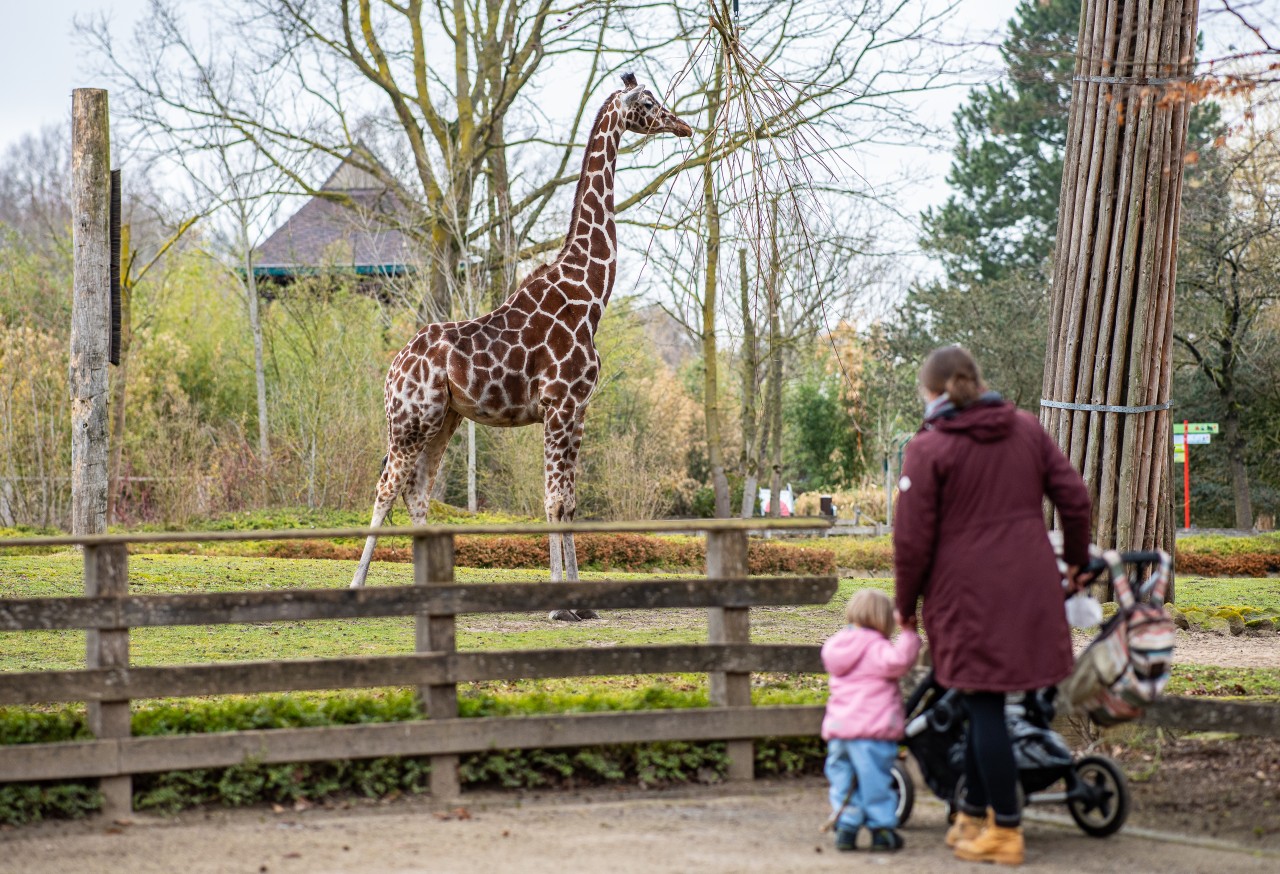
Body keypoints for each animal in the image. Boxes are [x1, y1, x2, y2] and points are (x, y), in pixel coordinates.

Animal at [348, 75, 691, 621]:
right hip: (408, 420)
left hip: (444, 420)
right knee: (386, 489)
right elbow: (552, 501)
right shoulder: (560, 405)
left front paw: (583, 604)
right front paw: (558, 605)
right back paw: (357, 585)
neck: (591, 292)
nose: (683, 125)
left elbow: (570, 501)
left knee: (417, 492)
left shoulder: (578, 409)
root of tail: (393, 367)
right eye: (648, 102)